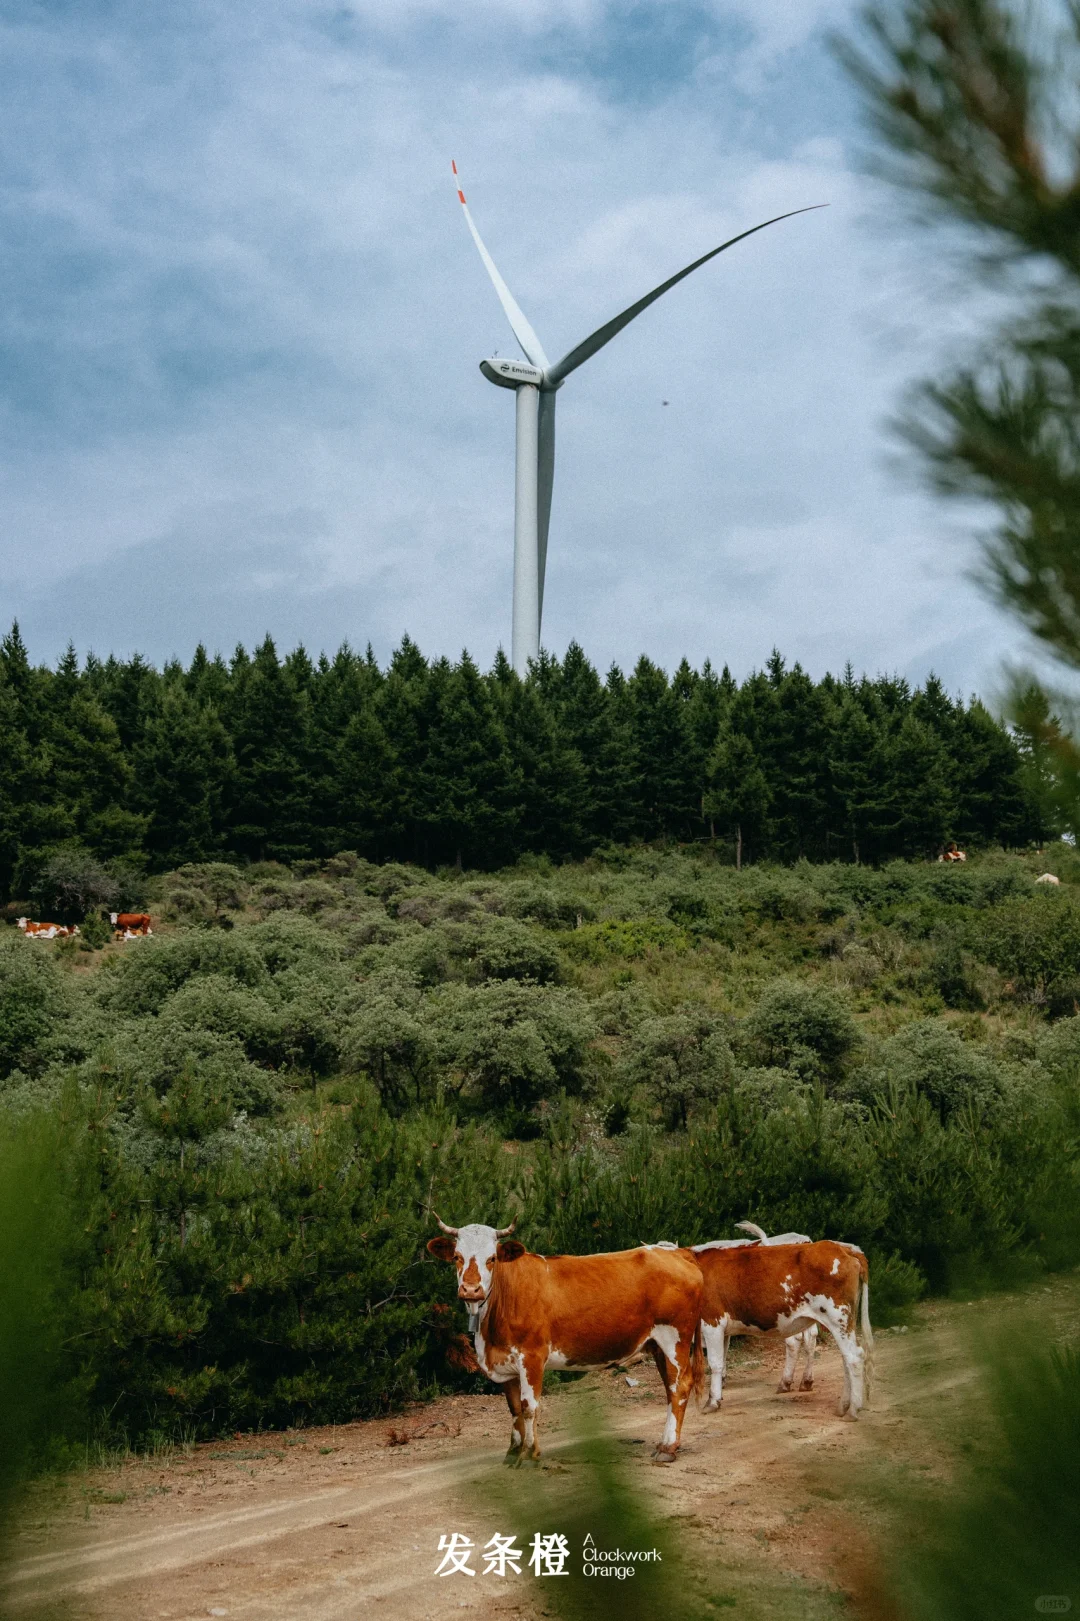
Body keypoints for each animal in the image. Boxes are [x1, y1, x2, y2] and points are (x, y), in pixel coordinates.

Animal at [424, 1218, 703, 1471]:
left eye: (492, 1258)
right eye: (457, 1257)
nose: (471, 1290)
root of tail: (675, 1252)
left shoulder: (532, 1357)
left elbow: (529, 1407)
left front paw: (530, 1455)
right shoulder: (506, 1363)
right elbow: (514, 1410)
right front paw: (513, 1452)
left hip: (674, 1338)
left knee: (680, 1386)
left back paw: (668, 1449)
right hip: (657, 1345)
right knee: (669, 1388)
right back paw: (664, 1443)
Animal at [684, 1238, 869, 1419]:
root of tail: (842, 1248)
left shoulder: (712, 1322)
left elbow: (715, 1363)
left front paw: (712, 1402)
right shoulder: (724, 1330)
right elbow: (722, 1361)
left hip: (837, 1317)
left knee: (854, 1356)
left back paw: (853, 1410)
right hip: (845, 1322)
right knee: (845, 1358)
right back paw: (843, 1406)